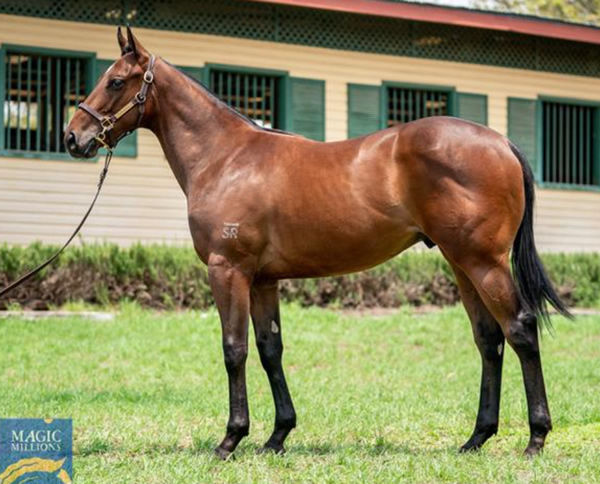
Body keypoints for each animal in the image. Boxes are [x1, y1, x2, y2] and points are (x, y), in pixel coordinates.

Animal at [65, 28, 572, 460]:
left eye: (115, 81)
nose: (73, 137)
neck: (226, 158)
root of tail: (501, 142)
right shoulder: (263, 280)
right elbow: (269, 350)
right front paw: (276, 436)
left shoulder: (228, 270)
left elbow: (234, 349)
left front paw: (230, 439)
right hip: (461, 264)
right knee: (489, 339)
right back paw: (476, 438)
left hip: (484, 263)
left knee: (520, 330)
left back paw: (536, 438)